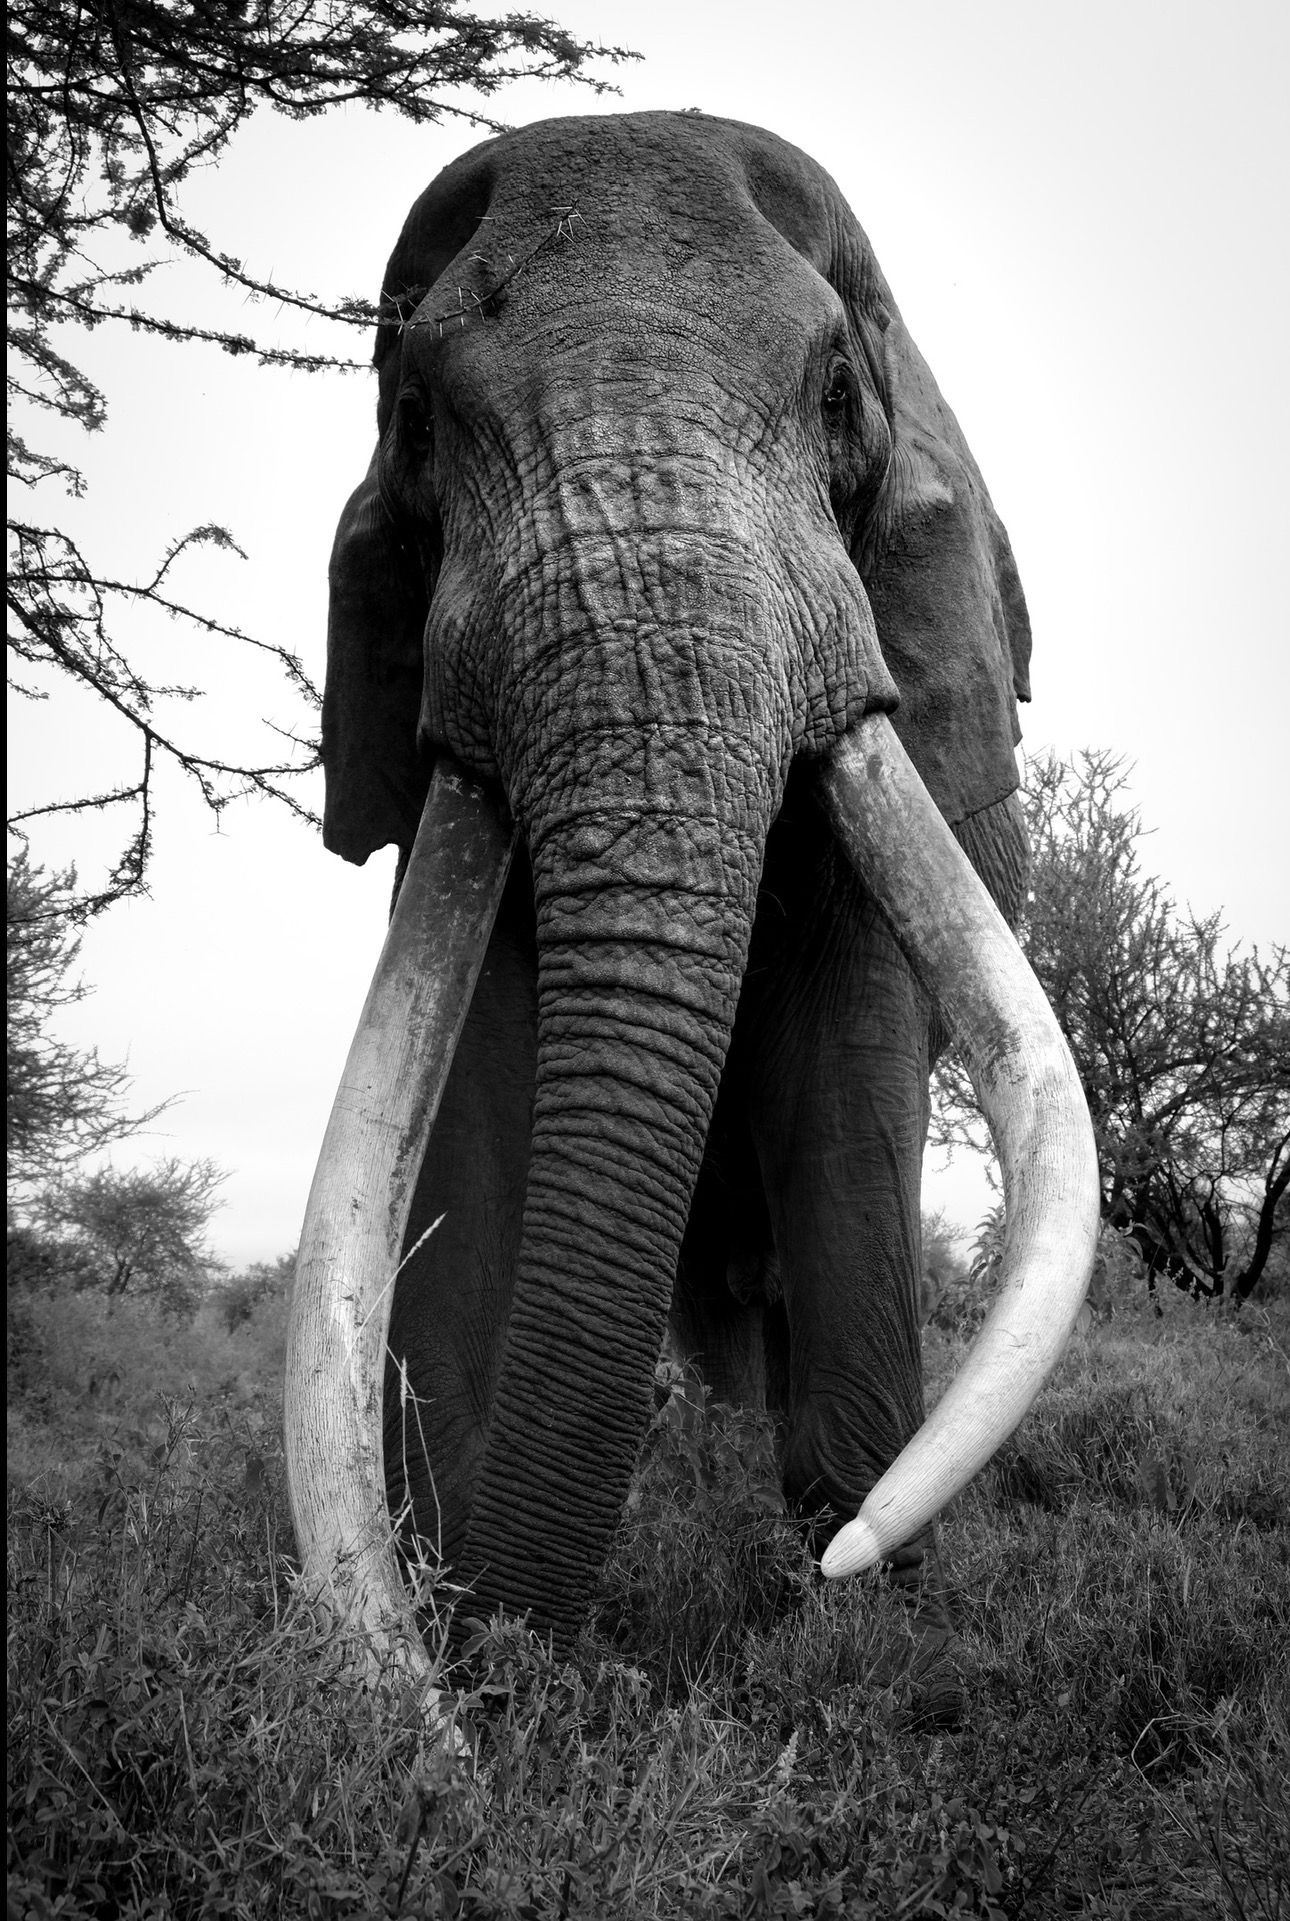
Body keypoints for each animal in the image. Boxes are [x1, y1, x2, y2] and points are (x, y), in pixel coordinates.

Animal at [284, 111, 1097, 1710]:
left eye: (838, 392)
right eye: (415, 422)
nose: (516, 1686)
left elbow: (846, 1052)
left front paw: (862, 1615)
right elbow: (472, 1068)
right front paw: (451, 1616)